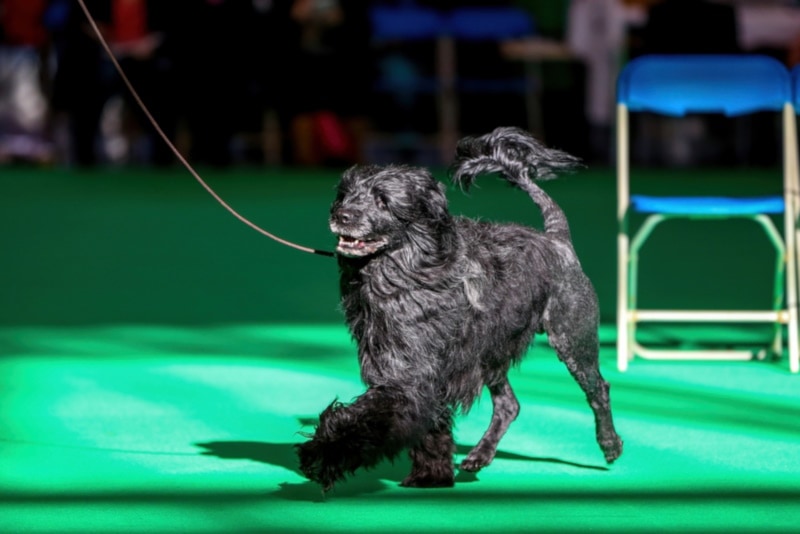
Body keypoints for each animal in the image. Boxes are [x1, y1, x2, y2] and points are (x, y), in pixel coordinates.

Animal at [296, 127, 620, 492]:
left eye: (383, 200)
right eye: (345, 195)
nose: (342, 215)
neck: (405, 271)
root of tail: (558, 240)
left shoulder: (412, 375)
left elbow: (371, 418)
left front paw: (325, 453)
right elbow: (430, 427)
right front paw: (431, 474)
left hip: (572, 339)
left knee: (599, 389)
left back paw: (610, 444)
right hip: (491, 352)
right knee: (509, 405)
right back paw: (480, 455)